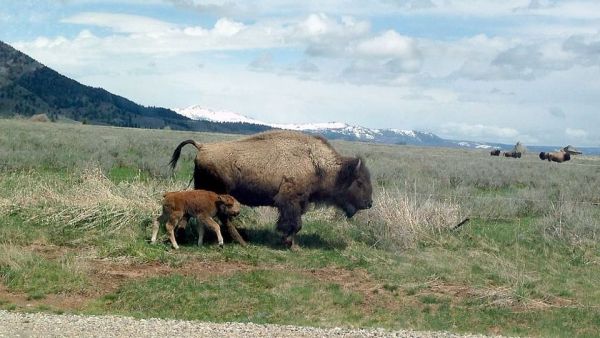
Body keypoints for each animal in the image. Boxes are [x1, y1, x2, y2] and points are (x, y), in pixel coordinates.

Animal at [169, 131, 372, 250]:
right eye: (359, 181)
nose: (369, 203)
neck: (317, 164)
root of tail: (202, 146)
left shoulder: (298, 203)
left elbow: (293, 224)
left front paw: (288, 242)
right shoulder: (290, 201)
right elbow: (295, 224)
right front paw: (290, 244)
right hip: (219, 193)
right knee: (224, 218)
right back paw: (241, 241)